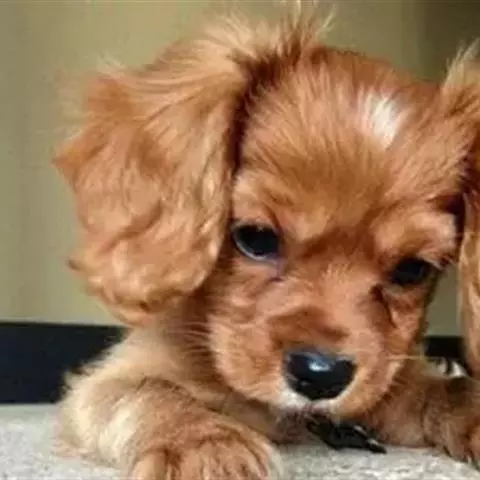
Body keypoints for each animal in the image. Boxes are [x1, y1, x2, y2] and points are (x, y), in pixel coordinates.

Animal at [55, 9, 480, 480]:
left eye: (411, 270)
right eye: (255, 238)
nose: (321, 375)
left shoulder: (388, 387)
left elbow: (444, 390)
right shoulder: (103, 385)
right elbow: (150, 393)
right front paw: (205, 444)